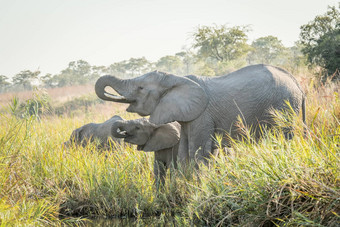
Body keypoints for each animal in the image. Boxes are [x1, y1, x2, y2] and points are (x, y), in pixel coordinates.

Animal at [95, 64, 306, 164]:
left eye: (140, 88)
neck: (176, 79)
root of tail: (298, 84)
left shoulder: (203, 115)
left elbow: (197, 153)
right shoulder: (189, 117)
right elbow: (184, 154)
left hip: (284, 107)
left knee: (284, 138)